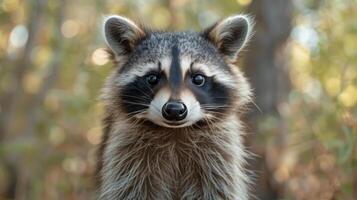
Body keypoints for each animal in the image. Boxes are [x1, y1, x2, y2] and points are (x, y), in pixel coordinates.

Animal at [97, 14, 253, 200]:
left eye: (198, 78)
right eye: (152, 78)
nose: (174, 110)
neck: (175, 131)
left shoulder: (219, 155)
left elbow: (217, 189)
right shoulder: (126, 155)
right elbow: (129, 189)